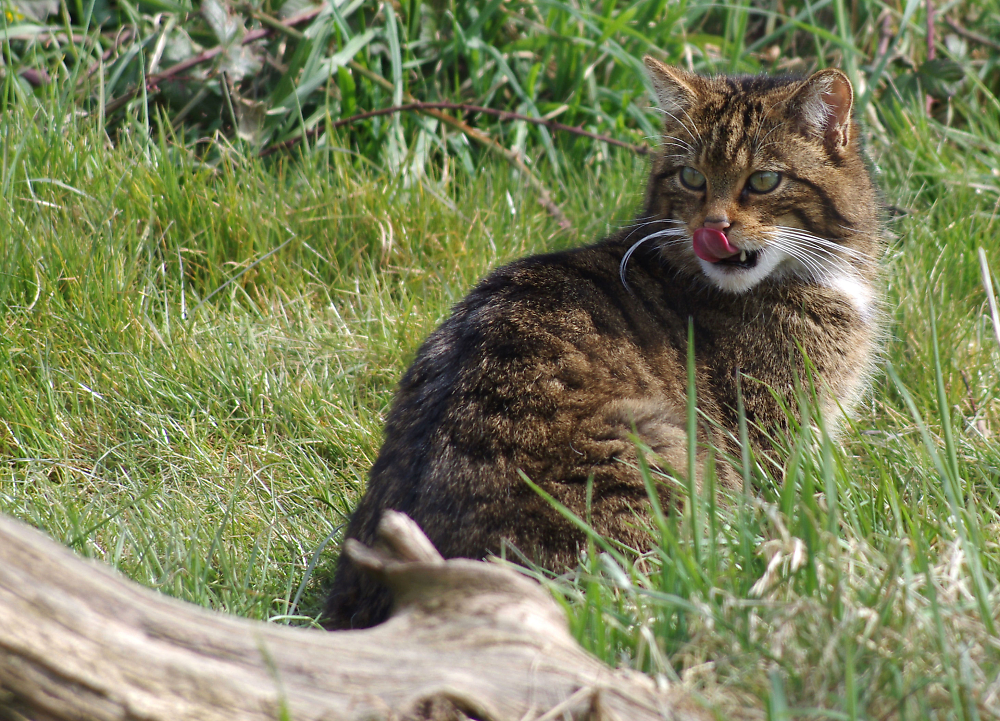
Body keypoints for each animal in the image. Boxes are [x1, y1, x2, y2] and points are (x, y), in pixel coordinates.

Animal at [326, 59, 884, 628]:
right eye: (692, 177)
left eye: (764, 180)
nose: (713, 226)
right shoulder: (775, 431)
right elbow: (792, 499)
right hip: (650, 445)